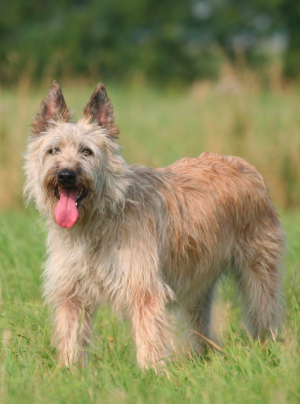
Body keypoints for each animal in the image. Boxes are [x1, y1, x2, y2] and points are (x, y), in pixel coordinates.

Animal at [23, 82, 284, 370]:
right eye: (53, 150)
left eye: (86, 151)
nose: (66, 175)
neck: (101, 216)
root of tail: (244, 164)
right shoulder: (72, 291)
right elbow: (71, 332)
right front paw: (69, 370)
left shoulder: (144, 287)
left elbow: (149, 332)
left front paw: (152, 371)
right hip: (198, 280)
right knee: (199, 320)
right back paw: (202, 355)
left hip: (258, 269)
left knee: (263, 309)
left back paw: (266, 347)